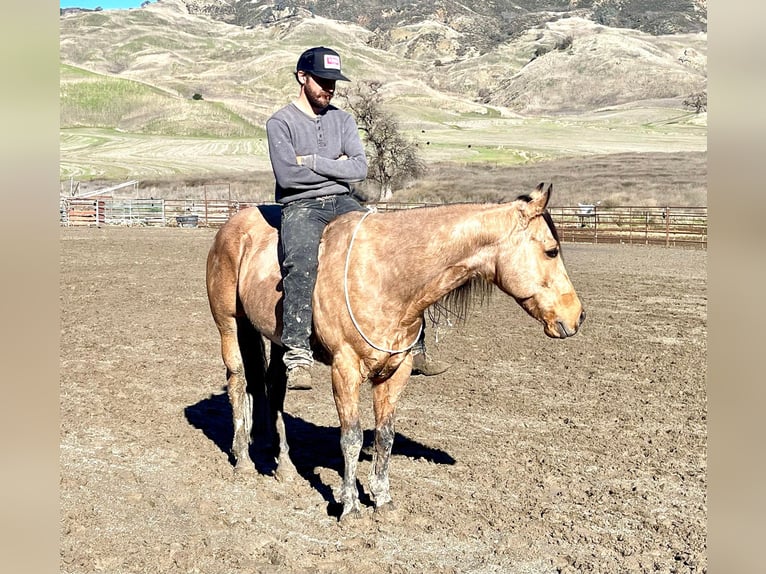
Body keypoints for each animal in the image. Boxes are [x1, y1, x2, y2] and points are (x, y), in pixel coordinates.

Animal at [207, 183, 584, 520]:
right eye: (551, 250)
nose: (577, 316)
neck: (387, 275)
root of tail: (233, 225)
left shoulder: (396, 371)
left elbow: (384, 436)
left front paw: (383, 500)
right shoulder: (344, 369)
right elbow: (351, 437)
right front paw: (350, 507)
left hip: (276, 338)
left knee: (274, 388)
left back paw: (283, 465)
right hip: (229, 326)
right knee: (238, 382)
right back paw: (243, 460)